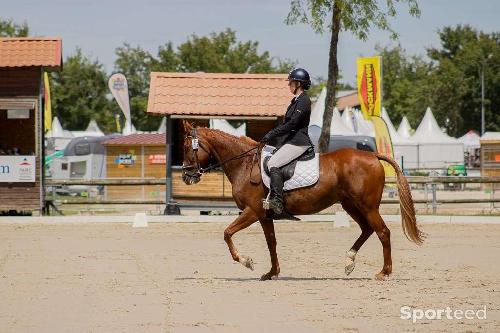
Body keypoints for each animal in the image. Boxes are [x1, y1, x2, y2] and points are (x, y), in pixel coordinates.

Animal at [180, 120, 422, 278]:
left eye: (186, 147)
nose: (186, 176)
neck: (245, 165)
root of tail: (372, 155)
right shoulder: (265, 216)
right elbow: (271, 243)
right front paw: (272, 272)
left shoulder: (253, 211)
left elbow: (227, 233)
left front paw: (246, 261)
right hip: (350, 205)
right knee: (367, 230)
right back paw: (349, 262)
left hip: (368, 206)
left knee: (383, 232)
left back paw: (384, 272)